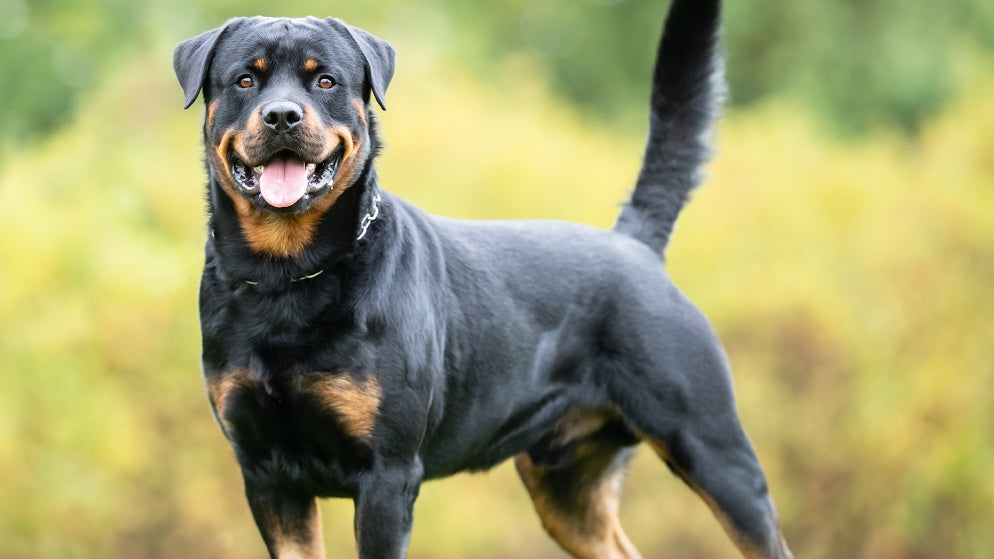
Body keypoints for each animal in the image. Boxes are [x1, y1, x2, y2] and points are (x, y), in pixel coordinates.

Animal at [170, 1, 792, 559]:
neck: (289, 274)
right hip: (565, 487)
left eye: (324, 80)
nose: (282, 116)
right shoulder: (268, 476)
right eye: (245, 80)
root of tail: (634, 243)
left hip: (714, 451)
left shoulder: (387, 476)